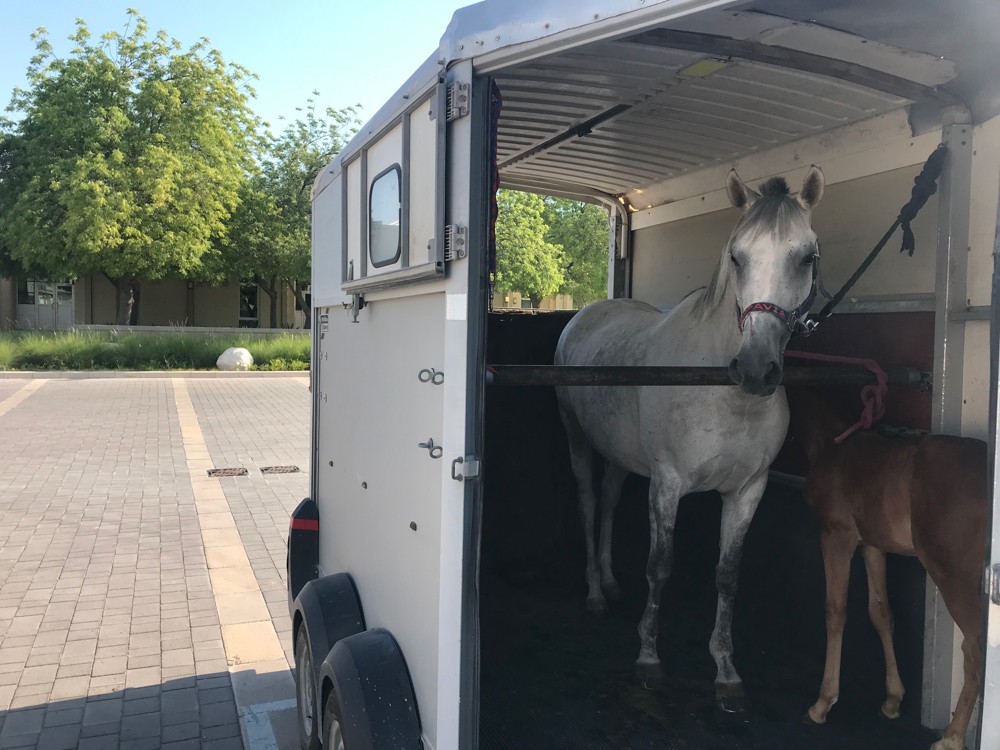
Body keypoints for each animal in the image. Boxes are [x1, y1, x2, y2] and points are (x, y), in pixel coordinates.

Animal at [554, 166, 825, 711]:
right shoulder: (668, 484)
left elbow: (728, 573)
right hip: (578, 441)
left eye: (807, 256)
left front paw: (725, 668)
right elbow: (660, 567)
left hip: (621, 455)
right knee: (590, 503)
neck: (724, 395)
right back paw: (594, 593)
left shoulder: (748, 491)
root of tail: (585, 315)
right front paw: (648, 659)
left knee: (609, 501)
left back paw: (610, 582)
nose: (755, 370)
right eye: (737, 256)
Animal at [788, 387, 986, 750]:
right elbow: (881, 612)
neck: (832, 443)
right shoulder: (873, 545)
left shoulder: (836, 536)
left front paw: (822, 703)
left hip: (955, 577)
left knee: (975, 650)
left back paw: (950, 738)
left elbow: (835, 612)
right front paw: (893, 700)